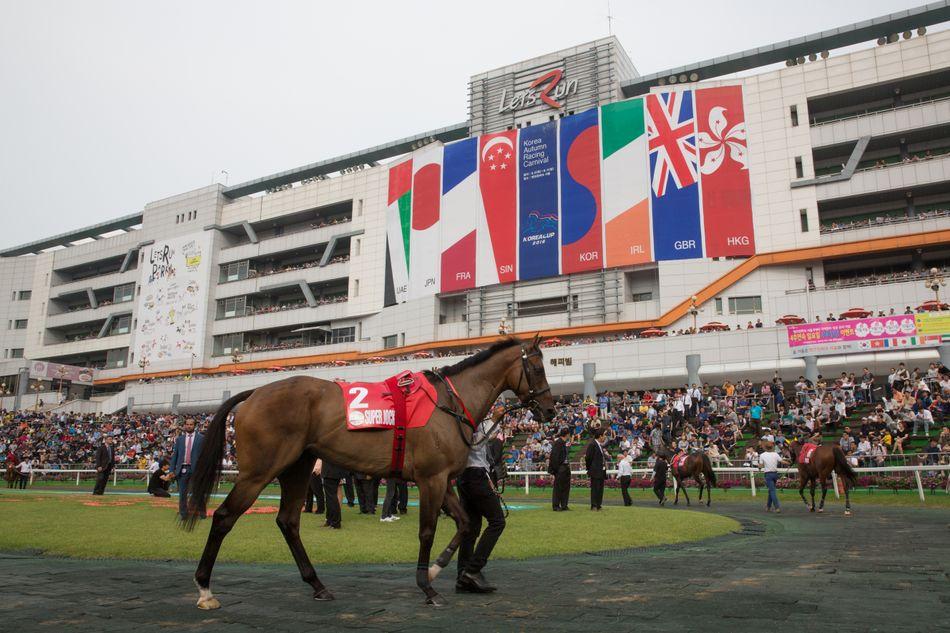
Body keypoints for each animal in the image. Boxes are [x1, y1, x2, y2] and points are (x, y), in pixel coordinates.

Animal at [185, 336, 556, 608]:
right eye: (538, 368)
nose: (550, 410)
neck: (447, 403)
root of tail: (254, 392)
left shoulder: (444, 480)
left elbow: (465, 524)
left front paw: (437, 570)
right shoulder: (431, 479)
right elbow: (427, 531)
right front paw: (426, 585)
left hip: (297, 467)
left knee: (288, 521)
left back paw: (317, 585)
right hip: (259, 471)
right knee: (224, 517)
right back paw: (204, 589)